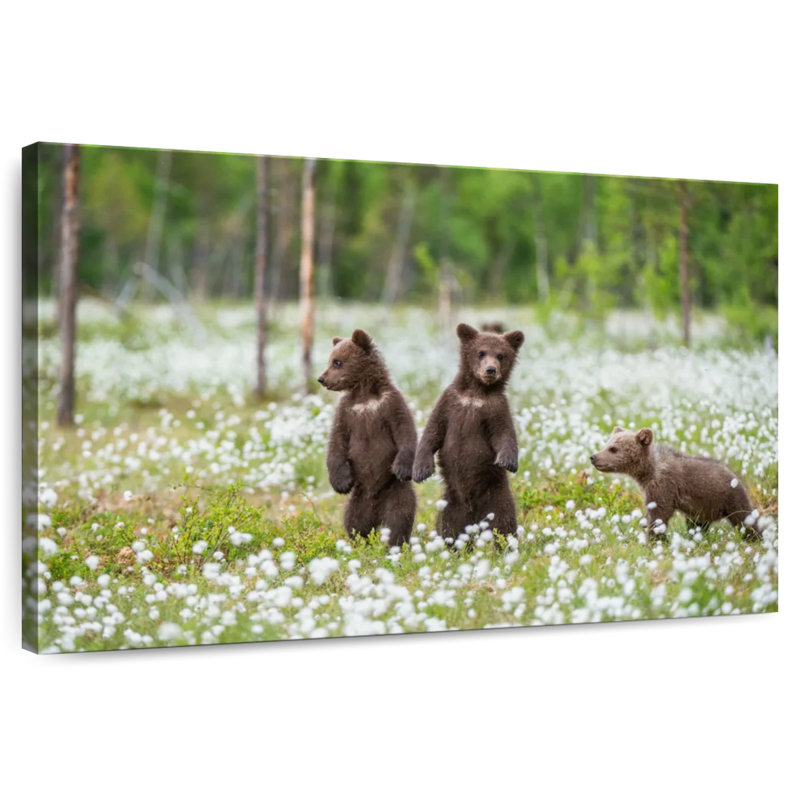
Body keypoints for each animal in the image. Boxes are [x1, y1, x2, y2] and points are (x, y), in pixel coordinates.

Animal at [318, 329, 417, 547]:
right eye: (330, 360)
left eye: (337, 362)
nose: (321, 378)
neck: (364, 395)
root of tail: (376, 509)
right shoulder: (346, 412)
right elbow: (336, 442)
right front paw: (341, 482)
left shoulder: (390, 404)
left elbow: (405, 431)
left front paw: (401, 467)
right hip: (359, 499)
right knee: (354, 520)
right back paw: (359, 542)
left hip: (396, 492)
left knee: (399, 517)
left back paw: (393, 543)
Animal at [413, 322, 525, 541]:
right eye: (480, 352)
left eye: (501, 355)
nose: (490, 369)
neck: (476, 393)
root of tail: (474, 519)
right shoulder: (450, 402)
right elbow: (433, 431)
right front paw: (421, 470)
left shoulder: (495, 408)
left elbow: (504, 434)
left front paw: (508, 460)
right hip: (450, 504)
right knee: (447, 528)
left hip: (497, 497)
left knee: (504, 523)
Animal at [590, 427, 760, 541]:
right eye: (606, 444)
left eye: (613, 449)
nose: (593, 457)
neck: (646, 473)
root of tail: (735, 475)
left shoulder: (663, 485)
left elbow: (660, 513)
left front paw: (655, 538)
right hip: (702, 509)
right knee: (697, 524)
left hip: (729, 497)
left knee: (744, 518)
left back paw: (753, 538)